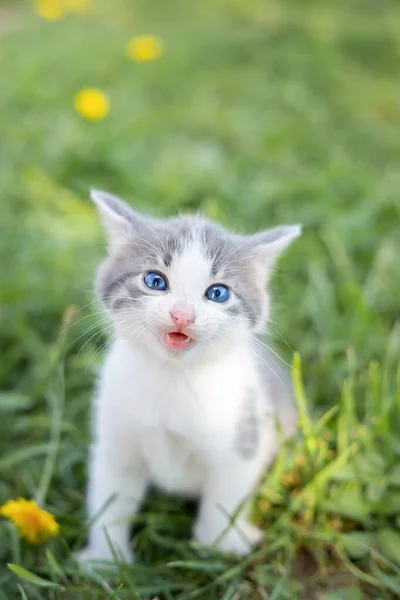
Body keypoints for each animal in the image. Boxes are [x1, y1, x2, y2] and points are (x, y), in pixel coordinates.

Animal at [77, 190, 300, 564]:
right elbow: (111, 496)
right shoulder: (116, 440)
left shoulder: (242, 437)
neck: (174, 377)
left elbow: (224, 499)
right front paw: (107, 559)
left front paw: (217, 547)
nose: (182, 315)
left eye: (218, 293)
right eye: (155, 281)